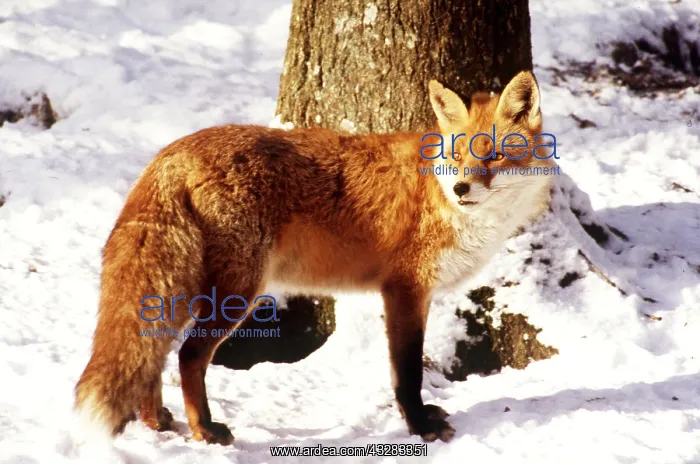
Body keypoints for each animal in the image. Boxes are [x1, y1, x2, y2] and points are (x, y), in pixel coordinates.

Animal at [74, 70, 555, 445]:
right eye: (456, 155)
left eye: (494, 155)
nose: (460, 188)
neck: (439, 199)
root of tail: (173, 151)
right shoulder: (404, 288)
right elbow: (407, 372)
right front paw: (419, 426)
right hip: (238, 293)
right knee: (188, 356)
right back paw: (205, 430)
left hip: (185, 289)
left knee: (154, 355)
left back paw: (156, 420)